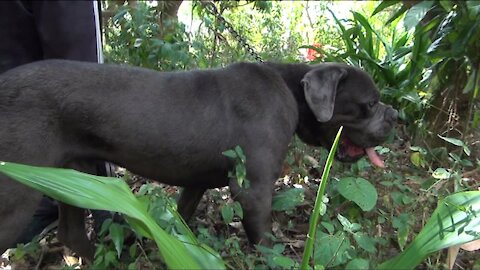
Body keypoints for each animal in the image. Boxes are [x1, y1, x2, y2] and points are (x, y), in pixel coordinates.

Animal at [0, 60, 398, 258]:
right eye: (370, 103)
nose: (397, 116)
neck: (291, 89)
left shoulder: (196, 182)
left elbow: (183, 218)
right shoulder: (254, 188)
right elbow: (265, 241)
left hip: (72, 172)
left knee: (69, 231)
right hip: (16, 193)